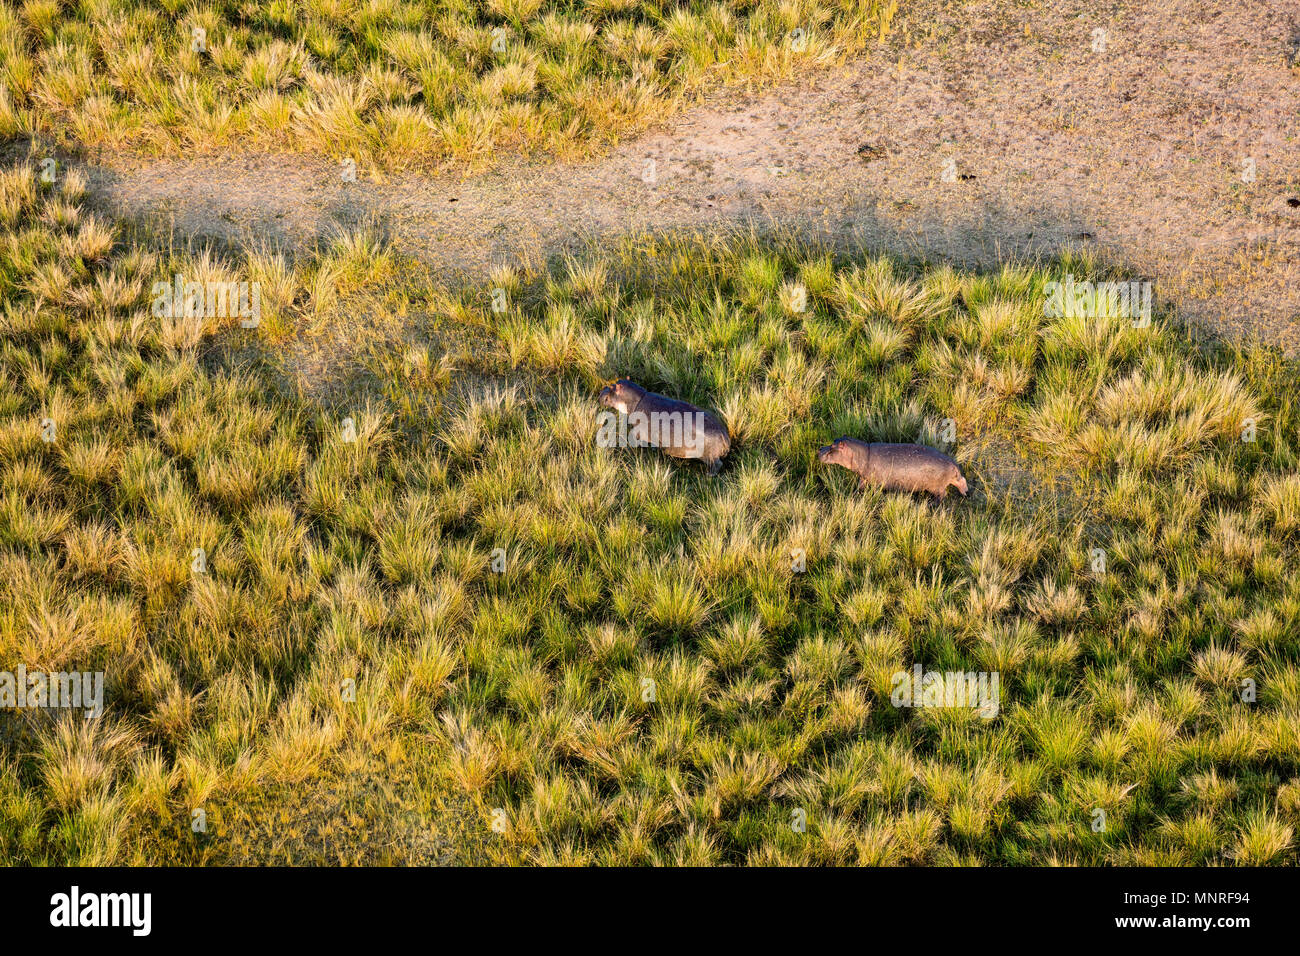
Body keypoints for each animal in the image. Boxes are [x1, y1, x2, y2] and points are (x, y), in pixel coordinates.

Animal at [598, 377, 733, 476]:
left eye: (612, 387)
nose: (600, 392)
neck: (637, 399)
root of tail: (725, 436)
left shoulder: (639, 432)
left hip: (709, 457)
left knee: (717, 464)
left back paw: (709, 475)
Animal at [816, 437, 972, 502]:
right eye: (834, 441)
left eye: (833, 447)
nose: (819, 449)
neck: (863, 454)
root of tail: (953, 464)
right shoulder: (864, 477)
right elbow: (860, 486)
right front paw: (854, 493)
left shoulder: (876, 482)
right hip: (953, 479)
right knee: (962, 480)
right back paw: (965, 493)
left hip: (937, 487)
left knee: (943, 495)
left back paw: (933, 504)